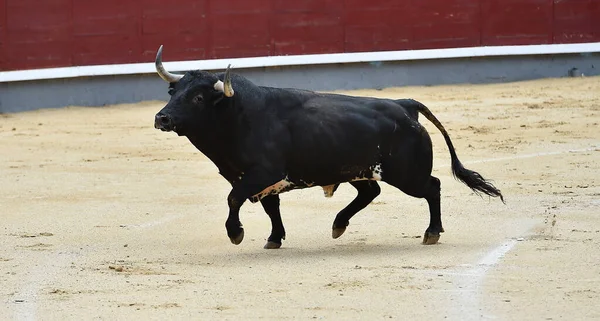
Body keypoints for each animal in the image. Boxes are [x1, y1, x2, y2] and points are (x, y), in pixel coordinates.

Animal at [152, 46, 504, 249]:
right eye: (172, 92)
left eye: (198, 97)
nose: (162, 118)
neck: (236, 115)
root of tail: (404, 105)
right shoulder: (262, 180)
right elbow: (270, 207)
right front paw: (274, 239)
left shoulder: (262, 173)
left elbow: (234, 198)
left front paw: (235, 233)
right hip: (359, 170)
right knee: (371, 192)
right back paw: (338, 224)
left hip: (407, 175)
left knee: (432, 187)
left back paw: (432, 233)